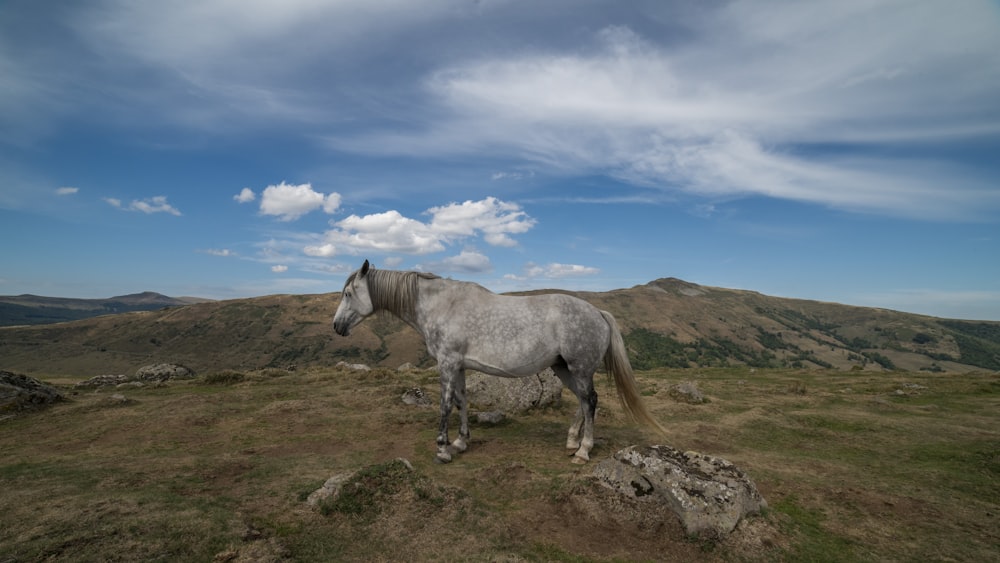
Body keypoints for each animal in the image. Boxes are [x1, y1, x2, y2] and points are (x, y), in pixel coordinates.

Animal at [332, 260, 668, 462]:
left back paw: (584, 451)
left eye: (348, 293)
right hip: (564, 369)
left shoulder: (447, 364)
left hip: (580, 368)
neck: (442, 305)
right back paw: (573, 441)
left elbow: (444, 405)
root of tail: (597, 312)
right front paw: (461, 442)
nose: (336, 326)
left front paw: (442, 449)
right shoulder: (460, 366)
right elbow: (461, 401)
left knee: (590, 400)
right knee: (584, 401)